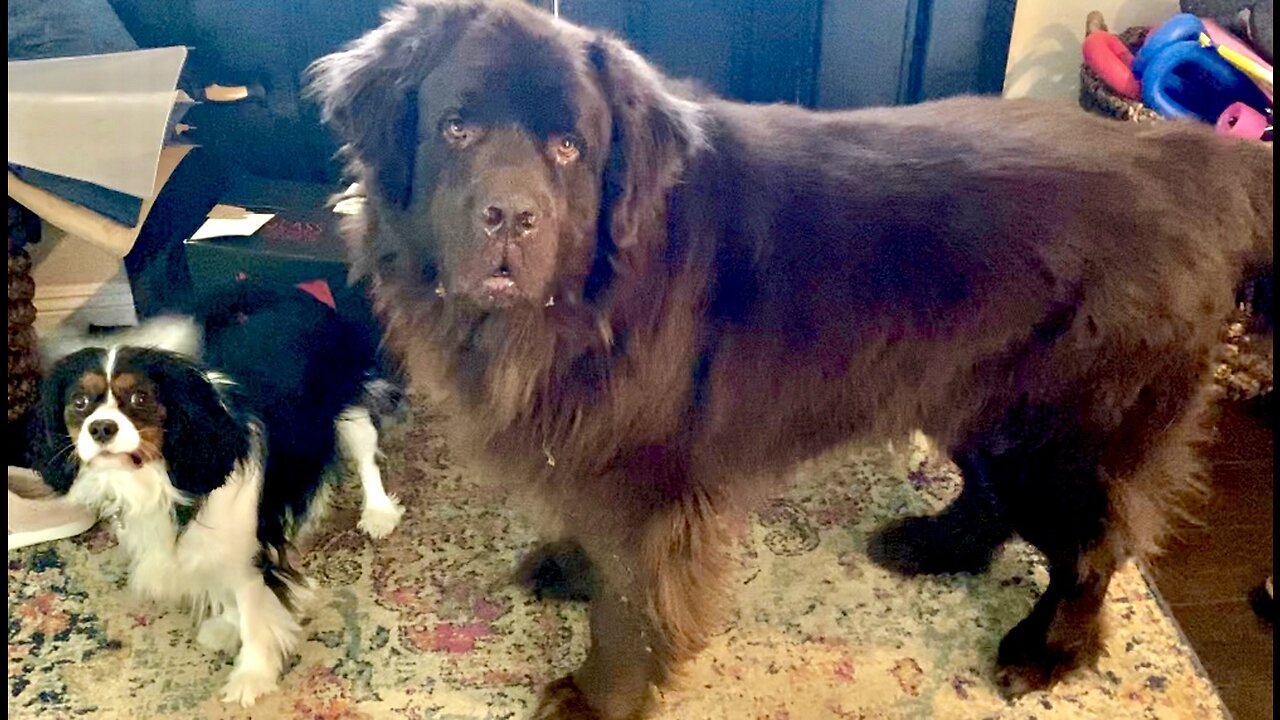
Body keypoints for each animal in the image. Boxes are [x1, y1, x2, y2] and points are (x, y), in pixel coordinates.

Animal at [33, 285, 404, 702]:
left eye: (140, 398)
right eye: (80, 403)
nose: (100, 428)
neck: (159, 475)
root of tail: (291, 293)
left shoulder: (245, 546)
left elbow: (254, 610)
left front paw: (252, 676)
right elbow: (225, 590)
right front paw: (227, 625)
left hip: (350, 408)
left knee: (366, 456)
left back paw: (378, 513)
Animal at [307, 2, 1269, 712]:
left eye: (568, 148)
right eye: (457, 130)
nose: (510, 216)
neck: (585, 300)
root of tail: (1195, 163)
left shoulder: (653, 485)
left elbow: (633, 606)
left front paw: (594, 699)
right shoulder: (589, 447)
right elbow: (597, 542)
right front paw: (571, 567)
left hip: (1066, 437)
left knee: (1094, 553)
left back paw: (1046, 651)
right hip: (977, 397)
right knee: (993, 496)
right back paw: (935, 543)